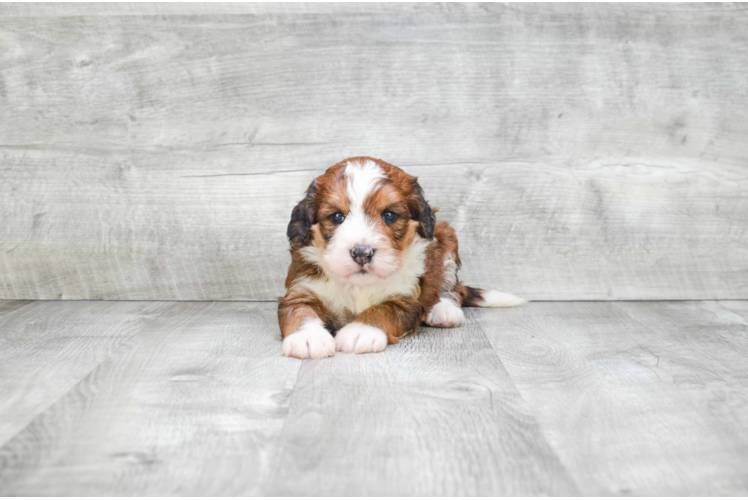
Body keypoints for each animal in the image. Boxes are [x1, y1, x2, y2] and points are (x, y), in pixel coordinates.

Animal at [276, 158, 524, 358]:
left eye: (389, 215)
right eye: (337, 217)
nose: (362, 253)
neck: (358, 285)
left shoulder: (406, 300)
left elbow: (384, 309)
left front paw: (360, 332)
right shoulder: (301, 289)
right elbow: (299, 311)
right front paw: (308, 338)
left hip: (446, 237)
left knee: (449, 285)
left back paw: (444, 310)